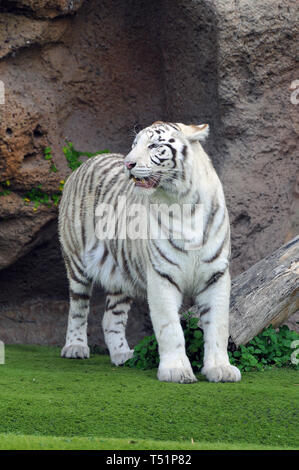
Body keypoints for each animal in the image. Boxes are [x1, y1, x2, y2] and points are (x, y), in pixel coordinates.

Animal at [58, 123, 241, 384]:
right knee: (78, 308)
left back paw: (123, 355)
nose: (128, 164)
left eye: (154, 145)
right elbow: (170, 327)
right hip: (76, 262)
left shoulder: (215, 275)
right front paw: (176, 370)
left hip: (120, 274)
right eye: (135, 145)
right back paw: (75, 347)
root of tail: (88, 161)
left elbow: (218, 325)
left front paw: (220, 368)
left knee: (110, 318)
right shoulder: (162, 275)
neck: (183, 203)